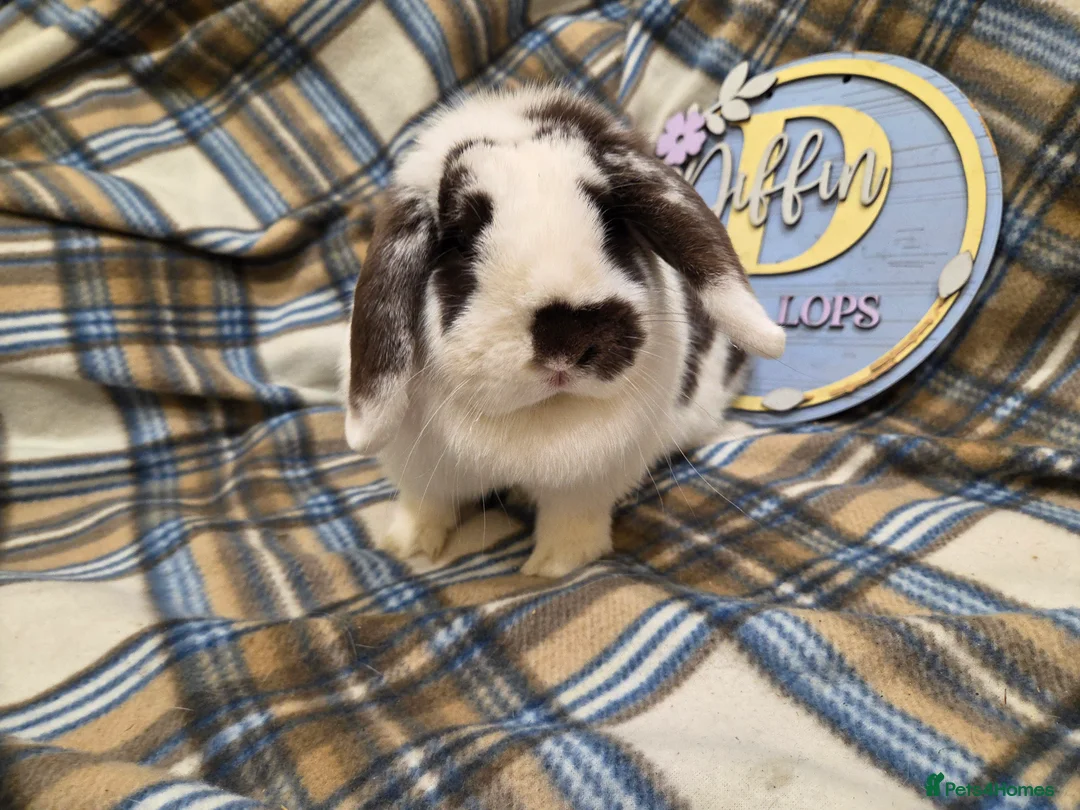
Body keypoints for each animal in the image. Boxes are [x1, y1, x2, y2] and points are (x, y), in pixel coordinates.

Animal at [342, 85, 785, 578]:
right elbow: (426, 502)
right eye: (458, 242)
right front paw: (408, 547)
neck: (540, 414)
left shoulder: (587, 481)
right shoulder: (421, 467)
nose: (565, 341)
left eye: (612, 225)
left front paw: (554, 567)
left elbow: (571, 521)